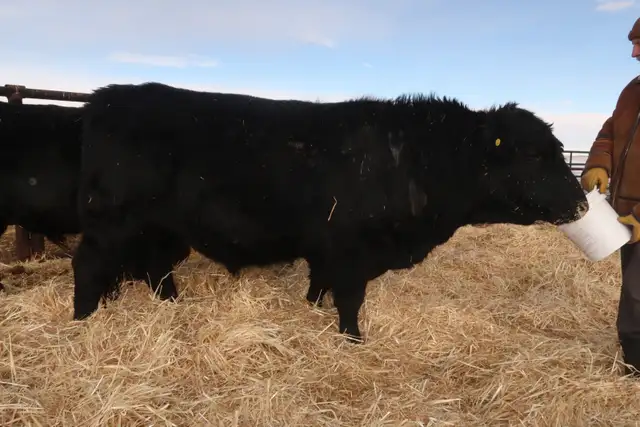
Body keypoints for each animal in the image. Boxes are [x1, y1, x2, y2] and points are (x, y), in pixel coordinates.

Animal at [70, 82, 588, 344]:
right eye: (534, 155)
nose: (583, 203)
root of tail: (106, 98)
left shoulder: (327, 251)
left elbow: (318, 288)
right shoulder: (351, 251)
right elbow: (350, 300)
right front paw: (354, 340)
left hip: (156, 229)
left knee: (155, 269)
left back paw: (170, 308)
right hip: (112, 223)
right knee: (89, 265)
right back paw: (82, 321)